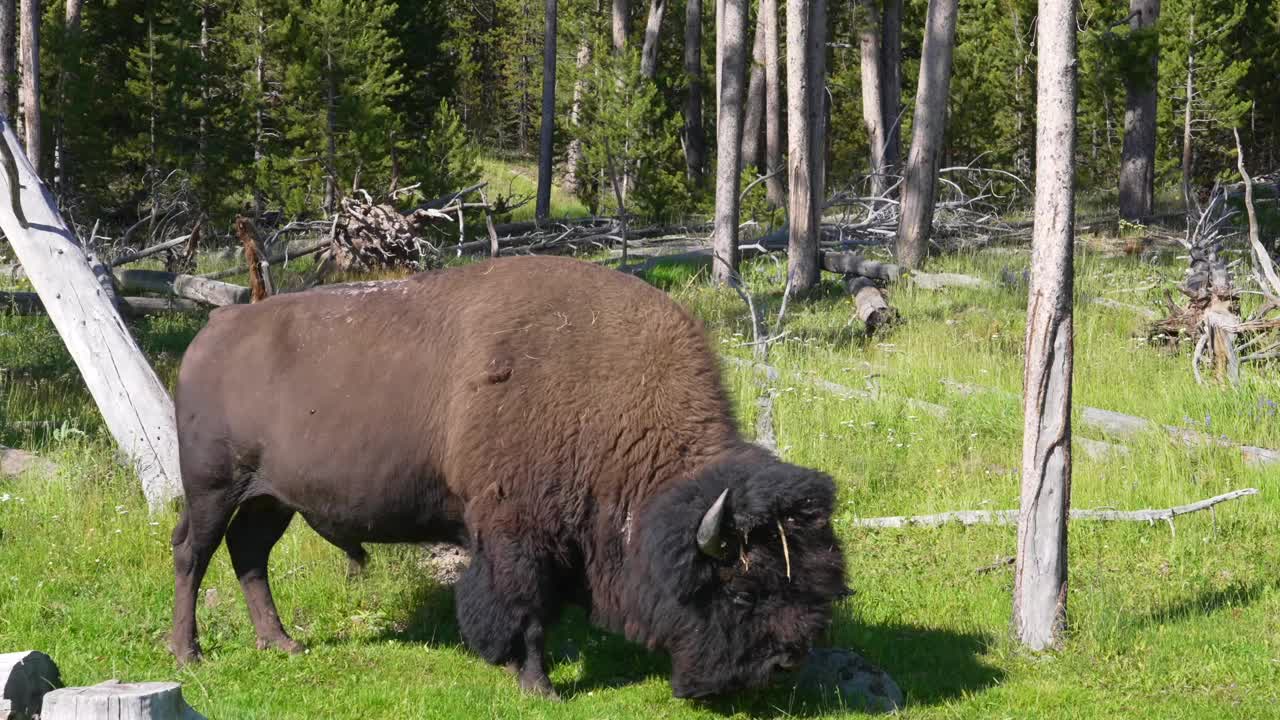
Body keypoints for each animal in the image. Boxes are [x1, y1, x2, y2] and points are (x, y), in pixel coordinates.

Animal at [170, 252, 849, 696]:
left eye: (817, 584)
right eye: (742, 589)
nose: (785, 664)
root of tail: (212, 331)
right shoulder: (518, 535)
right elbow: (526, 610)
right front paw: (538, 685)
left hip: (271, 498)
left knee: (248, 555)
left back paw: (281, 643)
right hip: (213, 488)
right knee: (193, 553)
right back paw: (188, 653)